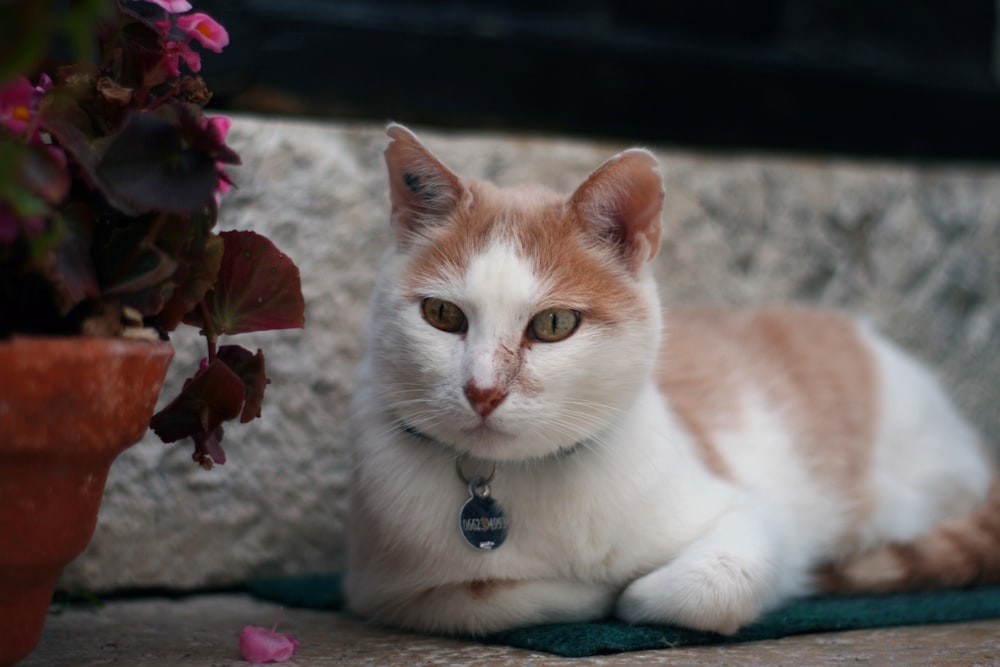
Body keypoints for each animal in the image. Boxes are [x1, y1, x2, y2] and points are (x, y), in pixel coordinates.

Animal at [346, 124, 1000, 636]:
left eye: (554, 324)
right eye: (443, 315)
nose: (482, 391)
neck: (520, 482)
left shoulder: (752, 517)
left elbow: (708, 588)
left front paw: (628, 591)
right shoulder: (380, 587)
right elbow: (481, 599)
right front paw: (583, 590)